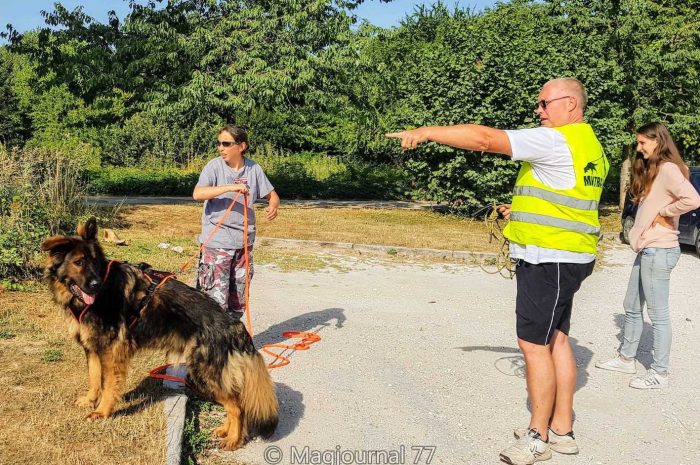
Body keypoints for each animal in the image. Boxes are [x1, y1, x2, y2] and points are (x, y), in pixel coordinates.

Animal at [41, 218, 278, 450]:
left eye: (95, 262)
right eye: (79, 262)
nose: (96, 285)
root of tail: (235, 327)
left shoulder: (111, 352)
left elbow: (108, 385)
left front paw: (102, 411)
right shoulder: (92, 347)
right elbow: (93, 377)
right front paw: (90, 400)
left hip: (203, 373)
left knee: (237, 406)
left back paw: (233, 440)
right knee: (235, 402)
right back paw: (226, 431)